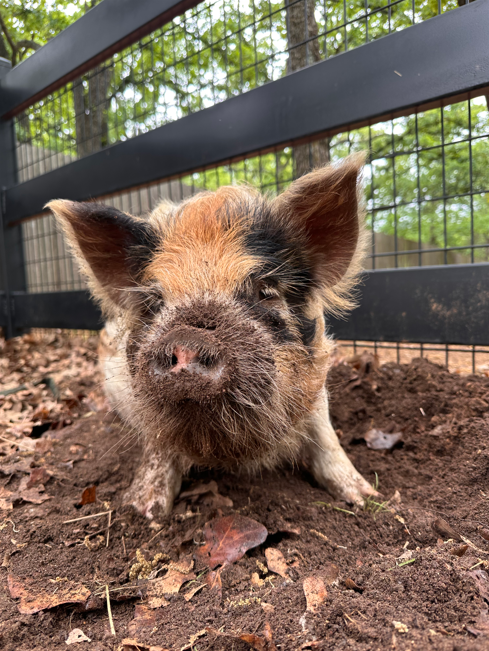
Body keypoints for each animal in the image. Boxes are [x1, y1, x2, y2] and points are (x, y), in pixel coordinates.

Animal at [47, 152, 376, 519]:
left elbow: (325, 435)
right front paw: (142, 510)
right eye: (155, 302)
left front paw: (365, 498)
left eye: (265, 291)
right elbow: (158, 446)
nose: (186, 341)